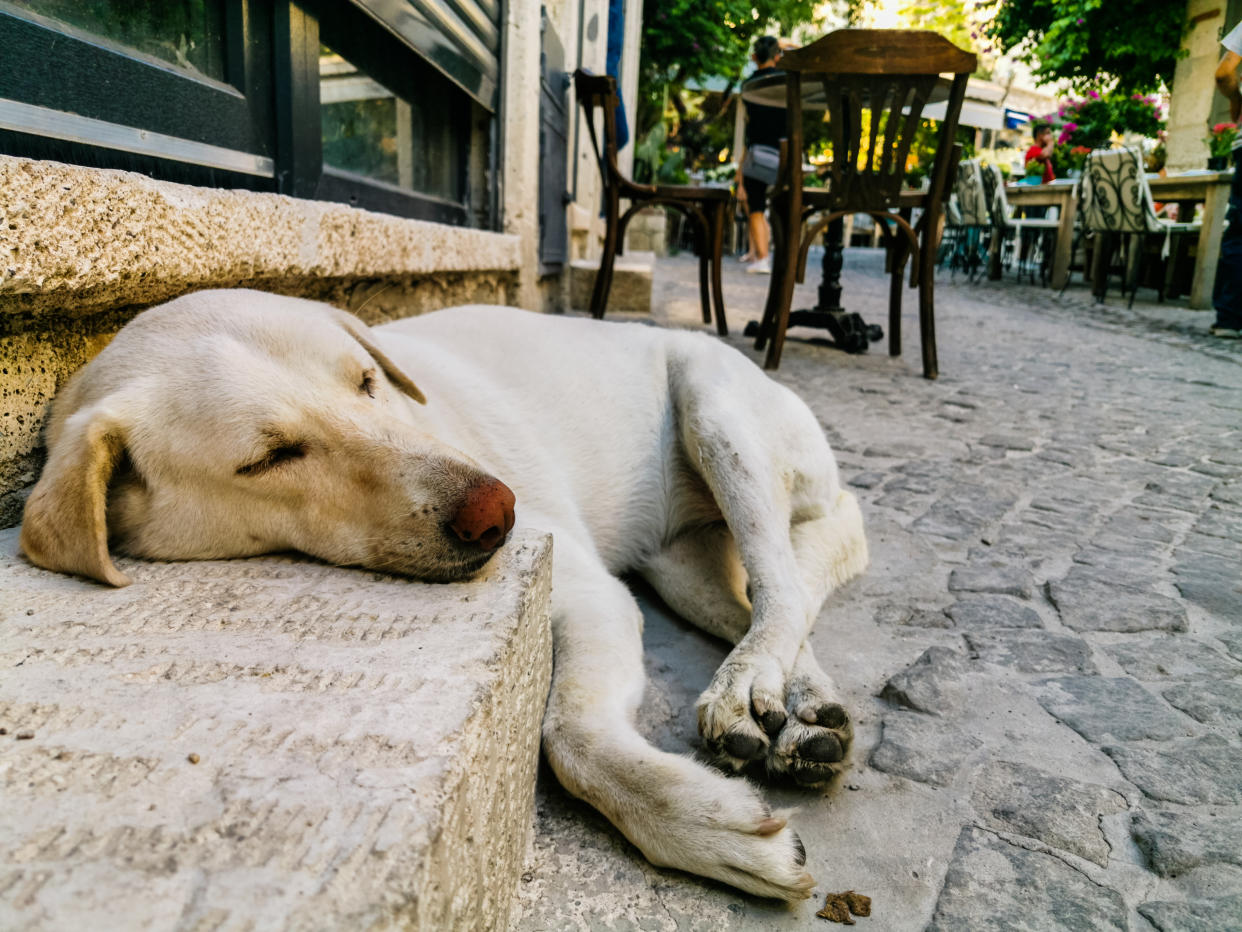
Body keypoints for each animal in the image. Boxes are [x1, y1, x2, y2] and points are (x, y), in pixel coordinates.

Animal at [24, 292, 869, 904]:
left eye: (365, 381)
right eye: (270, 457)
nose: (498, 510)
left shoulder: (589, 591)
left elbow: (571, 734)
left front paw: (702, 823)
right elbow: (572, 734)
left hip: (717, 416)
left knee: (782, 577)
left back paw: (751, 686)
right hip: (679, 567)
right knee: (775, 597)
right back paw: (801, 708)